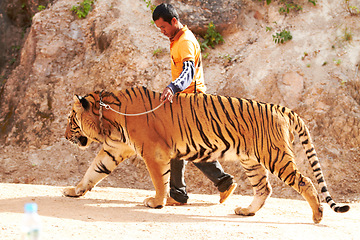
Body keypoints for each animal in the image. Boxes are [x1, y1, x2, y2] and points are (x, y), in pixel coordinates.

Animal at [64, 86, 348, 223]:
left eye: (70, 120)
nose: (64, 135)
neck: (108, 121)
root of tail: (280, 107)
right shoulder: (113, 150)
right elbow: (93, 170)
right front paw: (74, 191)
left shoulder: (154, 153)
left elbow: (159, 181)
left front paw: (156, 203)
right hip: (251, 160)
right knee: (263, 188)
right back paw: (246, 211)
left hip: (275, 155)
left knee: (305, 181)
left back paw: (317, 215)